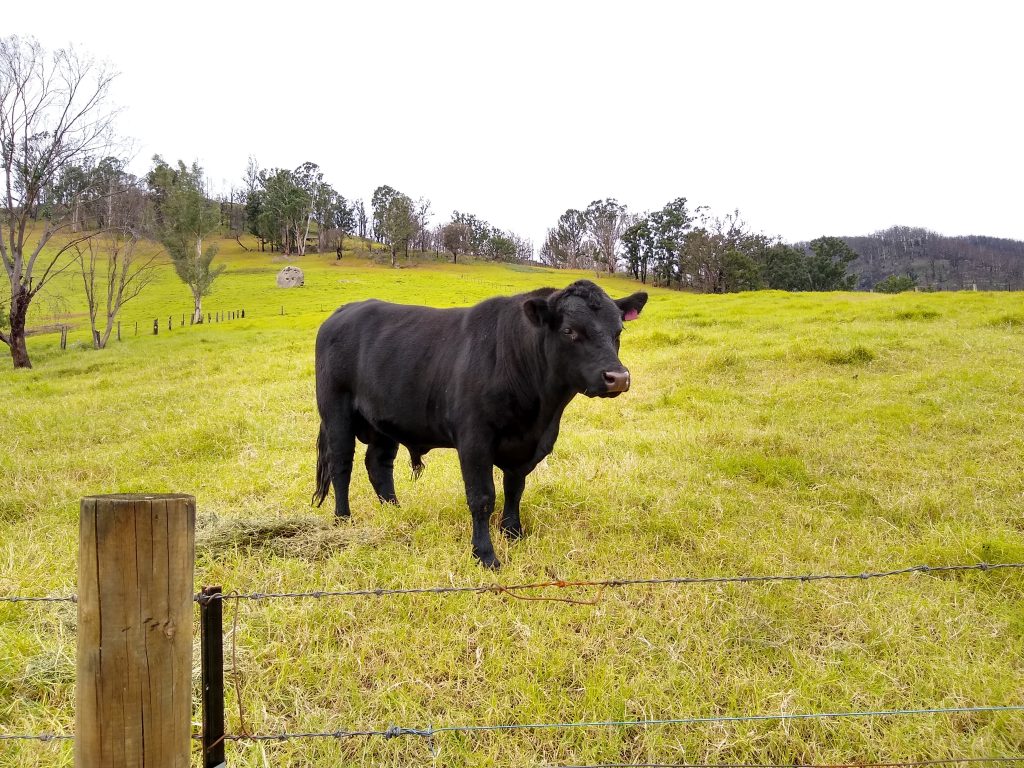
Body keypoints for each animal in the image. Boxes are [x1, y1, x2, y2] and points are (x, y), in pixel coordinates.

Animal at [313, 279, 648, 568]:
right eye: (569, 331)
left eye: (618, 331)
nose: (618, 377)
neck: (540, 411)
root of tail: (345, 310)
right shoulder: (474, 440)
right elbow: (482, 497)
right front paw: (485, 555)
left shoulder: (526, 446)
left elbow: (514, 490)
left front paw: (513, 533)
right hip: (336, 411)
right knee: (341, 465)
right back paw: (343, 519)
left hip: (384, 421)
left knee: (379, 465)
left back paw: (394, 512)